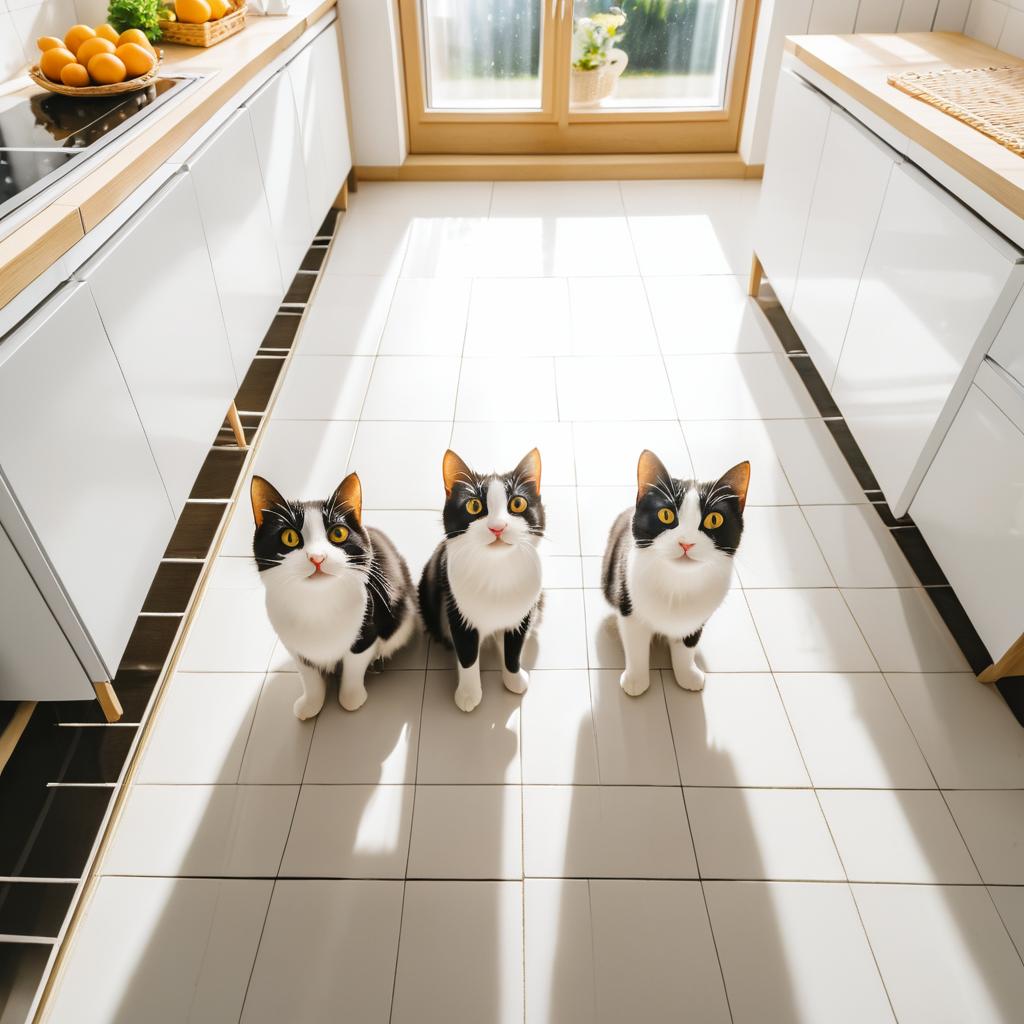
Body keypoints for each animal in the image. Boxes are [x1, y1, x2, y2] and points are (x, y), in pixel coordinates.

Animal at [250, 473, 415, 720]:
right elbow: (309, 676)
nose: (317, 557)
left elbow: (354, 667)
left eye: (338, 533)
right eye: (289, 537)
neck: (317, 602)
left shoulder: (366, 629)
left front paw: (351, 698)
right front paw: (311, 703)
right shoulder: (294, 646)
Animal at [415, 448, 544, 712]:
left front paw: (514, 679)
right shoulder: (456, 610)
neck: (497, 572)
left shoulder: (523, 613)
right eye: (474, 505)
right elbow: (467, 654)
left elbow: (514, 649)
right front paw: (468, 694)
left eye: (517, 503)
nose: (498, 527)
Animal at [598, 452, 753, 700]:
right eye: (666, 515)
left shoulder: (698, 617)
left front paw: (687, 674)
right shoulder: (630, 603)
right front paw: (636, 679)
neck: (678, 582)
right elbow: (635, 644)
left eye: (714, 519)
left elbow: (687, 644)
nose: (686, 543)